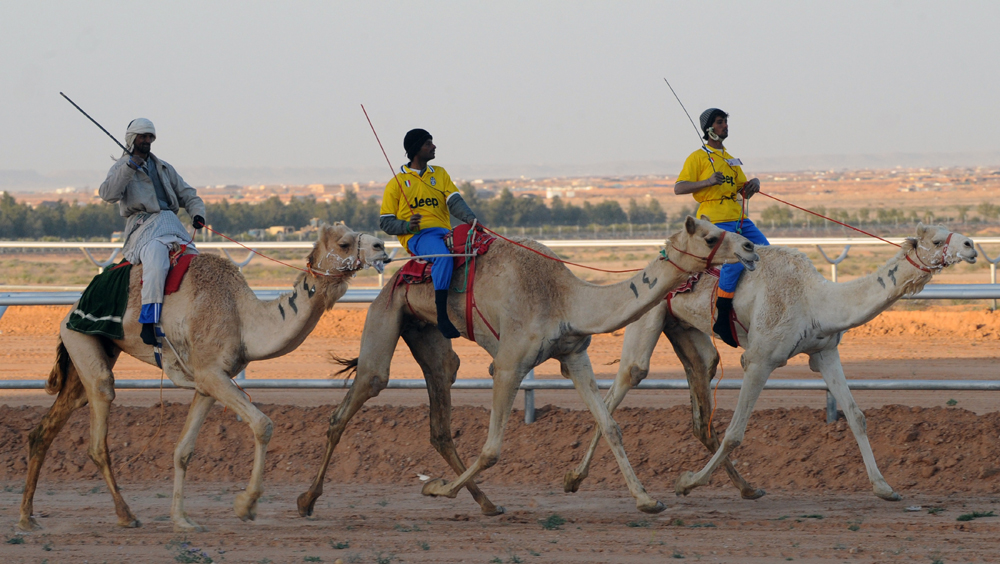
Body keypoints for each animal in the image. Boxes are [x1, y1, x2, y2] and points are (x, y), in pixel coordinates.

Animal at [19, 223, 388, 532]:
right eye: (344, 242)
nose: (381, 246)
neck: (243, 318)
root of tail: (71, 308)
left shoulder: (210, 381)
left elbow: (183, 450)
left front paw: (182, 520)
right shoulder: (211, 373)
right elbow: (263, 424)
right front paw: (245, 505)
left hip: (87, 355)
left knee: (47, 427)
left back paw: (27, 518)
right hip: (82, 341)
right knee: (99, 420)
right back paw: (126, 515)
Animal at [296, 218, 756, 516]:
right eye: (712, 236)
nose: (750, 248)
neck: (565, 298)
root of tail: (397, 275)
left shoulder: (574, 354)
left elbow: (611, 425)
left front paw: (646, 499)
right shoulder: (509, 362)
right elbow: (493, 448)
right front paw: (437, 490)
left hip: (427, 335)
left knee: (441, 413)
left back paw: (487, 504)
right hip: (385, 317)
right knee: (356, 398)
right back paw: (306, 500)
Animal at [564, 223, 976, 500]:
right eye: (936, 239)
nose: (971, 245)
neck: (816, 299)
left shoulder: (824, 351)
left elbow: (856, 416)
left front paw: (885, 487)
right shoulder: (760, 358)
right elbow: (736, 432)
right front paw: (686, 482)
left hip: (686, 332)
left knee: (701, 401)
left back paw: (747, 488)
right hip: (645, 317)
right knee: (625, 382)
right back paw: (574, 478)